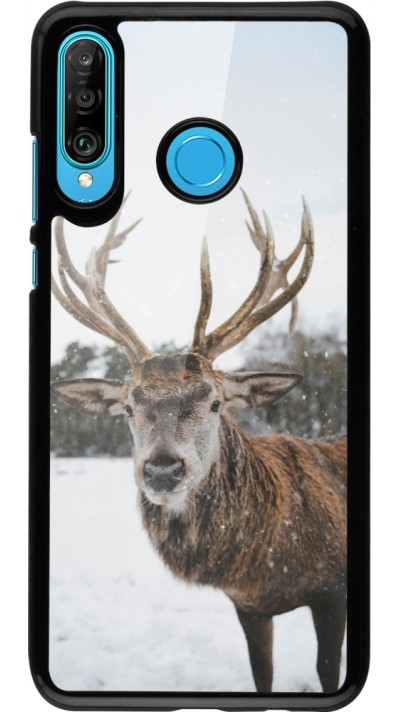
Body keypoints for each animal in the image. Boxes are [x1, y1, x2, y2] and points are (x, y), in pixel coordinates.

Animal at [51, 191, 347, 694]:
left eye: (214, 401)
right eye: (128, 407)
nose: (162, 469)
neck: (267, 565)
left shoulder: (332, 590)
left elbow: (328, 671)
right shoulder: (247, 605)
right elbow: (262, 674)